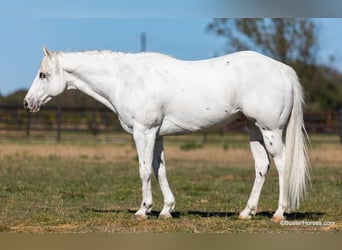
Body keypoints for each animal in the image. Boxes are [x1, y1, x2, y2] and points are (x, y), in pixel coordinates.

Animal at [22, 47, 308, 221]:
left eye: (43, 74)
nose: (27, 103)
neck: (127, 80)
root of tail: (282, 69)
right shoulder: (157, 134)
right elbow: (160, 169)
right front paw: (167, 210)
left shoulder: (144, 131)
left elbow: (144, 170)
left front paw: (143, 210)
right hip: (253, 128)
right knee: (261, 166)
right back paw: (246, 212)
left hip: (271, 130)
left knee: (281, 164)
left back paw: (279, 213)